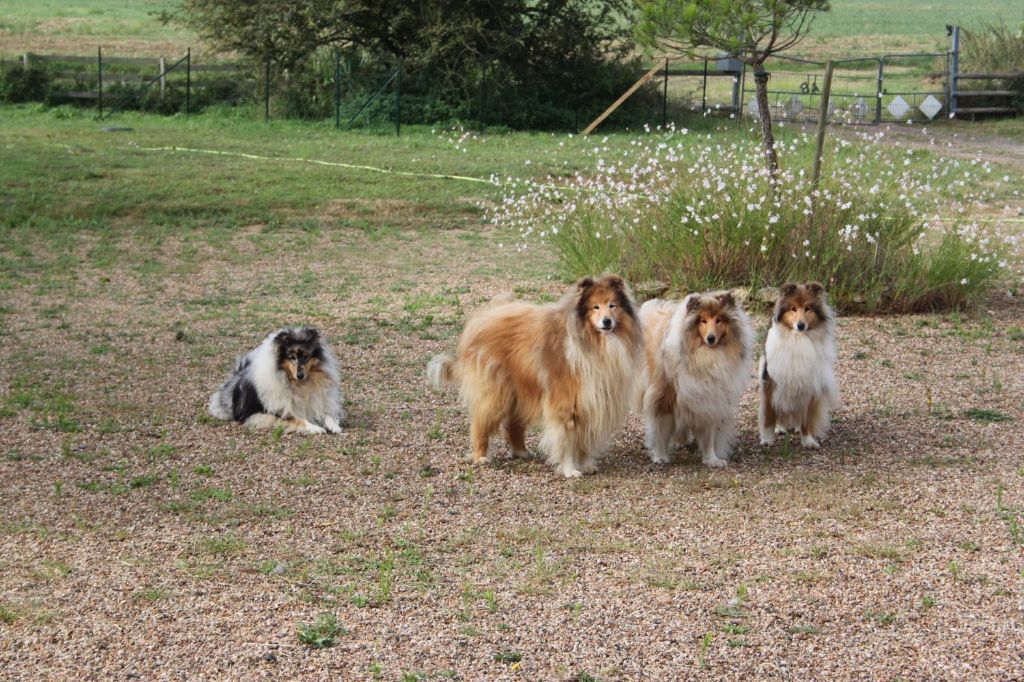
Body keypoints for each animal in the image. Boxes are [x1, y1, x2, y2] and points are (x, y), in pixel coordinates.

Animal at [206, 325, 344, 432]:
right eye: (292, 357)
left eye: (305, 356)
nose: (300, 375)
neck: (298, 385)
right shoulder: (270, 411)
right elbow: (298, 418)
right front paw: (315, 428)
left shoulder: (318, 401)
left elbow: (326, 413)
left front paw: (334, 426)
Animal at [428, 274, 643, 475]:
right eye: (595, 307)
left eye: (612, 305)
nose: (607, 322)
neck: (593, 342)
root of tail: (481, 319)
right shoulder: (565, 402)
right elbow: (566, 439)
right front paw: (570, 470)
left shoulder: (591, 403)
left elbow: (584, 440)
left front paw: (586, 464)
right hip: (496, 392)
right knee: (481, 423)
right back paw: (480, 457)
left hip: (520, 390)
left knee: (513, 424)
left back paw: (521, 451)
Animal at [643, 288, 757, 471]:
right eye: (703, 321)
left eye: (718, 320)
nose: (711, 338)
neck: (707, 356)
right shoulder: (665, 398)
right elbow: (661, 429)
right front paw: (660, 456)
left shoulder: (709, 399)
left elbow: (709, 435)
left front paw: (712, 459)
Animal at [761, 280, 839, 446]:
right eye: (793, 308)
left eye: (807, 308)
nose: (801, 325)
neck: (798, 339)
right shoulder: (772, 382)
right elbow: (770, 414)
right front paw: (767, 440)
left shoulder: (810, 387)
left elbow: (807, 419)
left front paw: (808, 440)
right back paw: (780, 427)